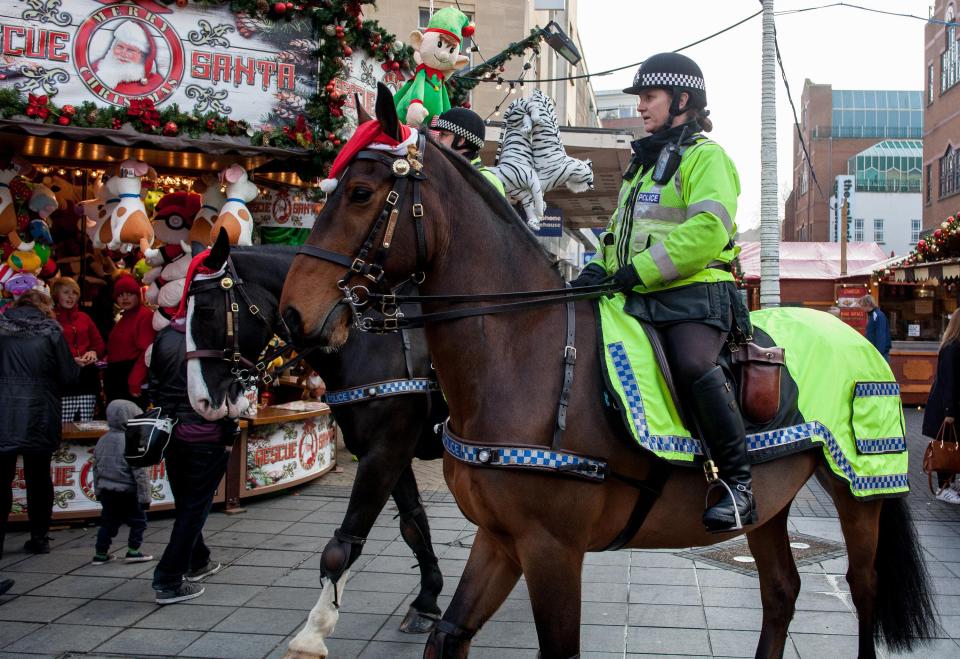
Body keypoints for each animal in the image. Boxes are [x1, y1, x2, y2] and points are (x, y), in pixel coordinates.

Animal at [280, 86, 936, 659]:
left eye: (361, 192)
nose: (294, 313)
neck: (524, 357)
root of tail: (855, 337)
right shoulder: (499, 538)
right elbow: (448, 632)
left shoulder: (549, 546)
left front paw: (314, 632)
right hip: (775, 503)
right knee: (781, 591)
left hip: (860, 491)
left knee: (864, 590)